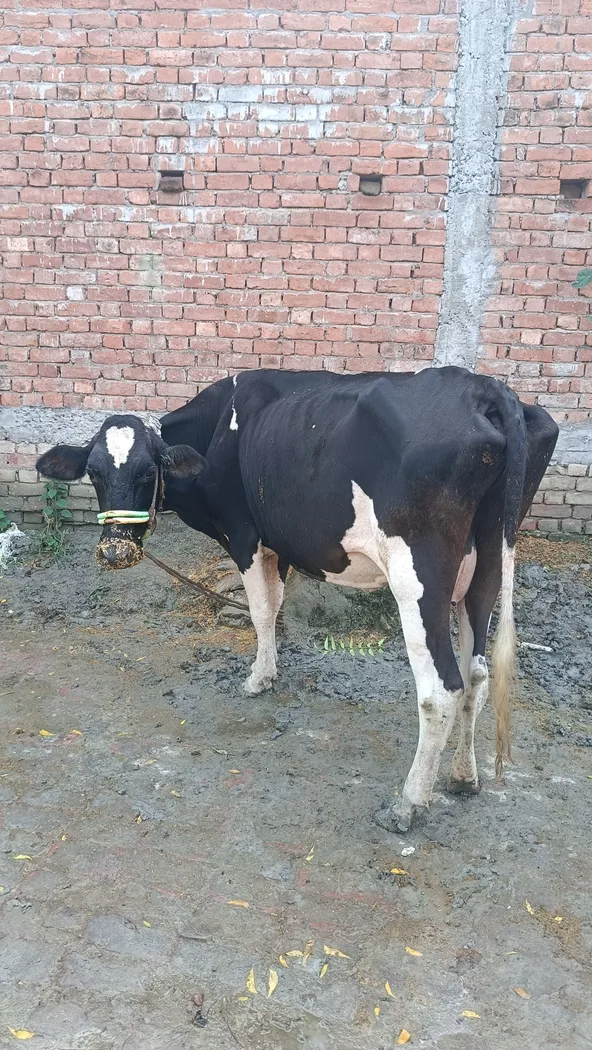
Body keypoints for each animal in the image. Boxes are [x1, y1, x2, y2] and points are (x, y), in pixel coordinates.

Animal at [36, 367, 558, 831]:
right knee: (477, 673)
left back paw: (408, 804)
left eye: (149, 471)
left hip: (420, 573)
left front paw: (257, 678)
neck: (218, 429)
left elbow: (260, 609)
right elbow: (276, 603)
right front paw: (271, 670)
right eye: (94, 472)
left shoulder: (243, 534)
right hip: (487, 565)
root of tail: (482, 387)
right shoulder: (279, 544)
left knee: (442, 687)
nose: (115, 551)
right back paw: (463, 777)